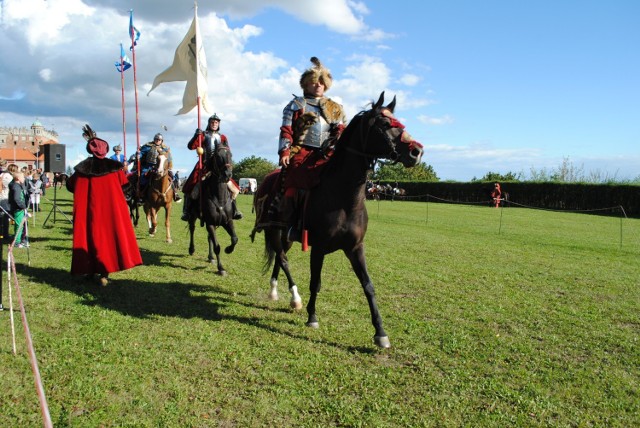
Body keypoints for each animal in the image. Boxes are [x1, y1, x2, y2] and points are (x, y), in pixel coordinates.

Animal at [185, 145, 240, 276]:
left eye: (230, 155)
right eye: (218, 156)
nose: (227, 175)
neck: (219, 197)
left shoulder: (227, 221)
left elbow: (234, 238)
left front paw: (228, 249)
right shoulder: (210, 223)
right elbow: (217, 247)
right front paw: (221, 268)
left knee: (209, 237)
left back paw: (211, 257)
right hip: (193, 216)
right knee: (192, 229)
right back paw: (191, 249)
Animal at [251, 91, 424, 348]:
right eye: (384, 124)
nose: (417, 151)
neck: (344, 198)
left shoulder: (355, 248)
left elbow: (368, 286)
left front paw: (380, 333)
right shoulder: (318, 248)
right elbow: (316, 282)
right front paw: (312, 317)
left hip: (285, 235)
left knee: (280, 258)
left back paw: (278, 293)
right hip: (273, 229)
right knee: (282, 259)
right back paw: (293, 297)